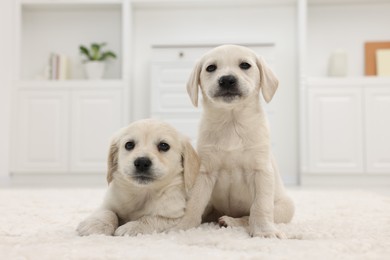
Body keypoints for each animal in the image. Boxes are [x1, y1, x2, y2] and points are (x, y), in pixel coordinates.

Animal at [174, 44, 296, 238]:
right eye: (211, 68)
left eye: (245, 65)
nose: (227, 80)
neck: (231, 122)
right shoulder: (204, 171)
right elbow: (194, 203)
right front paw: (183, 227)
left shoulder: (261, 171)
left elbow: (260, 206)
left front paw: (264, 231)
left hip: (286, 206)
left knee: (248, 215)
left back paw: (231, 221)